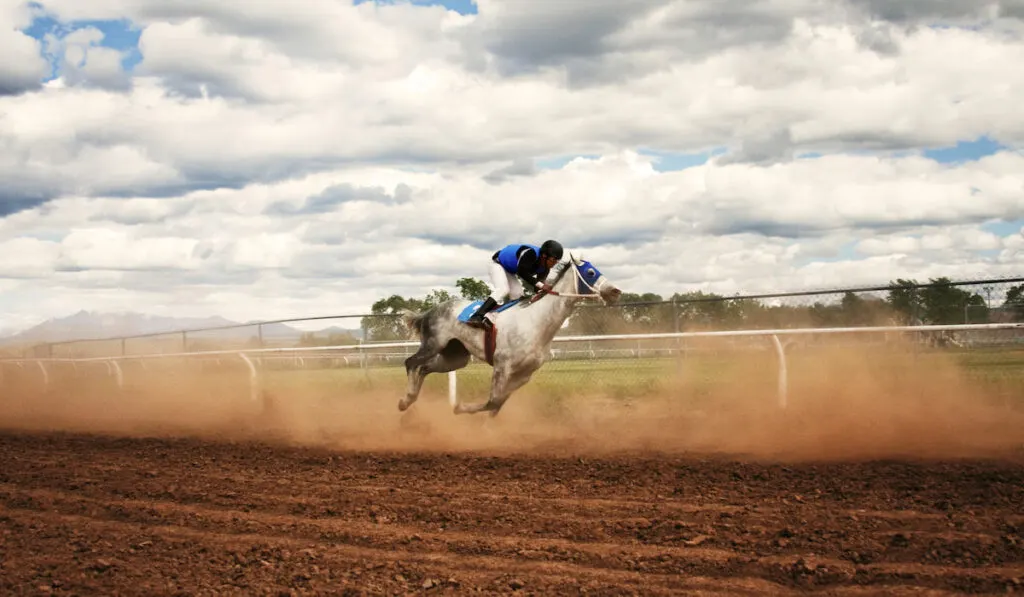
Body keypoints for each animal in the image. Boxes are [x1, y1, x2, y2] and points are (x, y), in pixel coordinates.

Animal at [397, 249, 622, 417]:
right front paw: (460, 408)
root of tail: (429, 311)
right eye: (591, 272)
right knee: (411, 362)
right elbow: (493, 401)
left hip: (456, 357)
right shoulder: (502, 366)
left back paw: (410, 399)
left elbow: (497, 404)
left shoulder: (524, 374)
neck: (536, 322)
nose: (615, 291)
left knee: (424, 368)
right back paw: (405, 400)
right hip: (433, 344)